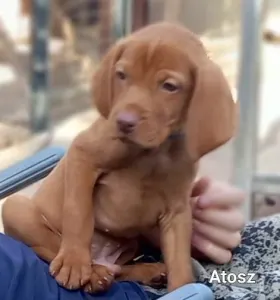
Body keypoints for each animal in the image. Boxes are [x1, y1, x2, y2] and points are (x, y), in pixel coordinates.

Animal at [2, 22, 238, 294]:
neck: (153, 152)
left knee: (117, 271)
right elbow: (78, 214)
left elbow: (179, 260)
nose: (124, 122)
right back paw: (92, 272)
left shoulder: (177, 210)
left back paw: (145, 271)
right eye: (122, 75)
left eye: (169, 86)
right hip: (16, 208)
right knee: (51, 248)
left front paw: (182, 288)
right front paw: (74, 261)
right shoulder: (81, 156)